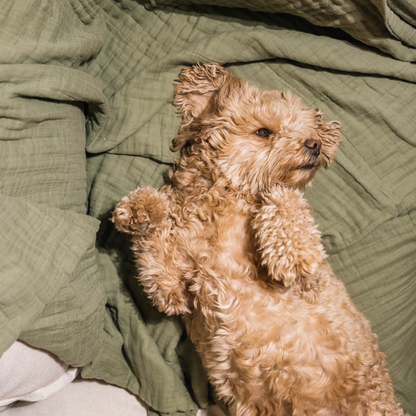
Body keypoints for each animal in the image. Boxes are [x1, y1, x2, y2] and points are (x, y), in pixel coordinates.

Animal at [112, 62, 404, 416]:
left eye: (308, 133)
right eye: (264, 132)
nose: (315, 144)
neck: (223, 202)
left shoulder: (313, 283)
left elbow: (286, 200)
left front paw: (290, 254)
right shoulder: (176, 292)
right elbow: (157, 259)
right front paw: (141, 209)